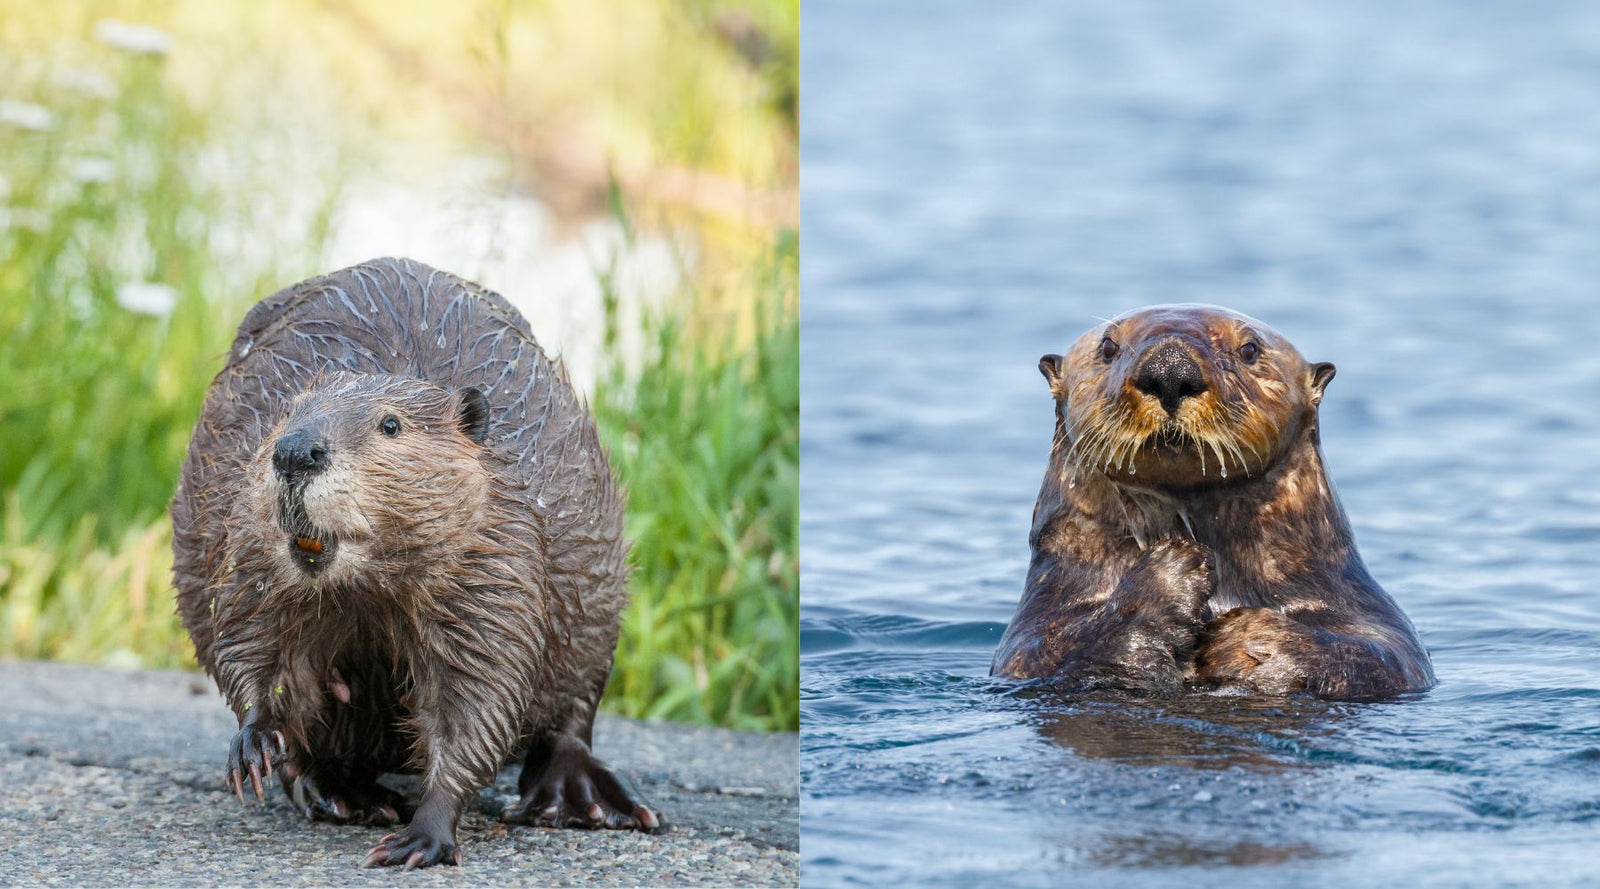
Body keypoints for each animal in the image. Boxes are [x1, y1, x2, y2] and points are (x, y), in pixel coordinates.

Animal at [170, 258, 660, 869]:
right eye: (286, 412)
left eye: (390, 425)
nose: (295, 451)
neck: (365, 588)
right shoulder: (248, 544)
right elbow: (247, 642)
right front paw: (256, 742)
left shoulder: (497, 565)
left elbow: (480, 699)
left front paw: (420, 837)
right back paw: (345, 794)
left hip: (594, 622)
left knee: (569, 718)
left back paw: (584, 800)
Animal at [992, 304, 1433, 701]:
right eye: (1108, 347)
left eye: (1250, 350)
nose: (1170, 370)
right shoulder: (1029, 639)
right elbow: (1063, 654)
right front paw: (1174, 568)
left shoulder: (1370, 618)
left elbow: (1377, 657)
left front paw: (1247, 639)